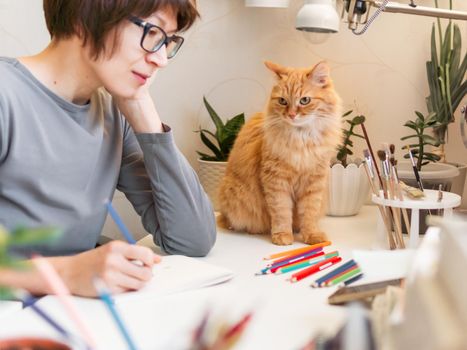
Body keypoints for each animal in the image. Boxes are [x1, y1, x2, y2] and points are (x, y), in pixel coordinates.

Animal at [218, 60, 342, 245]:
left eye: (304, 100)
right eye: (283, 101)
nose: (291, 115)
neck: (301, 139)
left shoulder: (314, 182)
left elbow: (309, 214)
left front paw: (312, 236)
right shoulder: (276, 181)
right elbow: (281, 213)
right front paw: (282, 236)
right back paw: (256, 230)